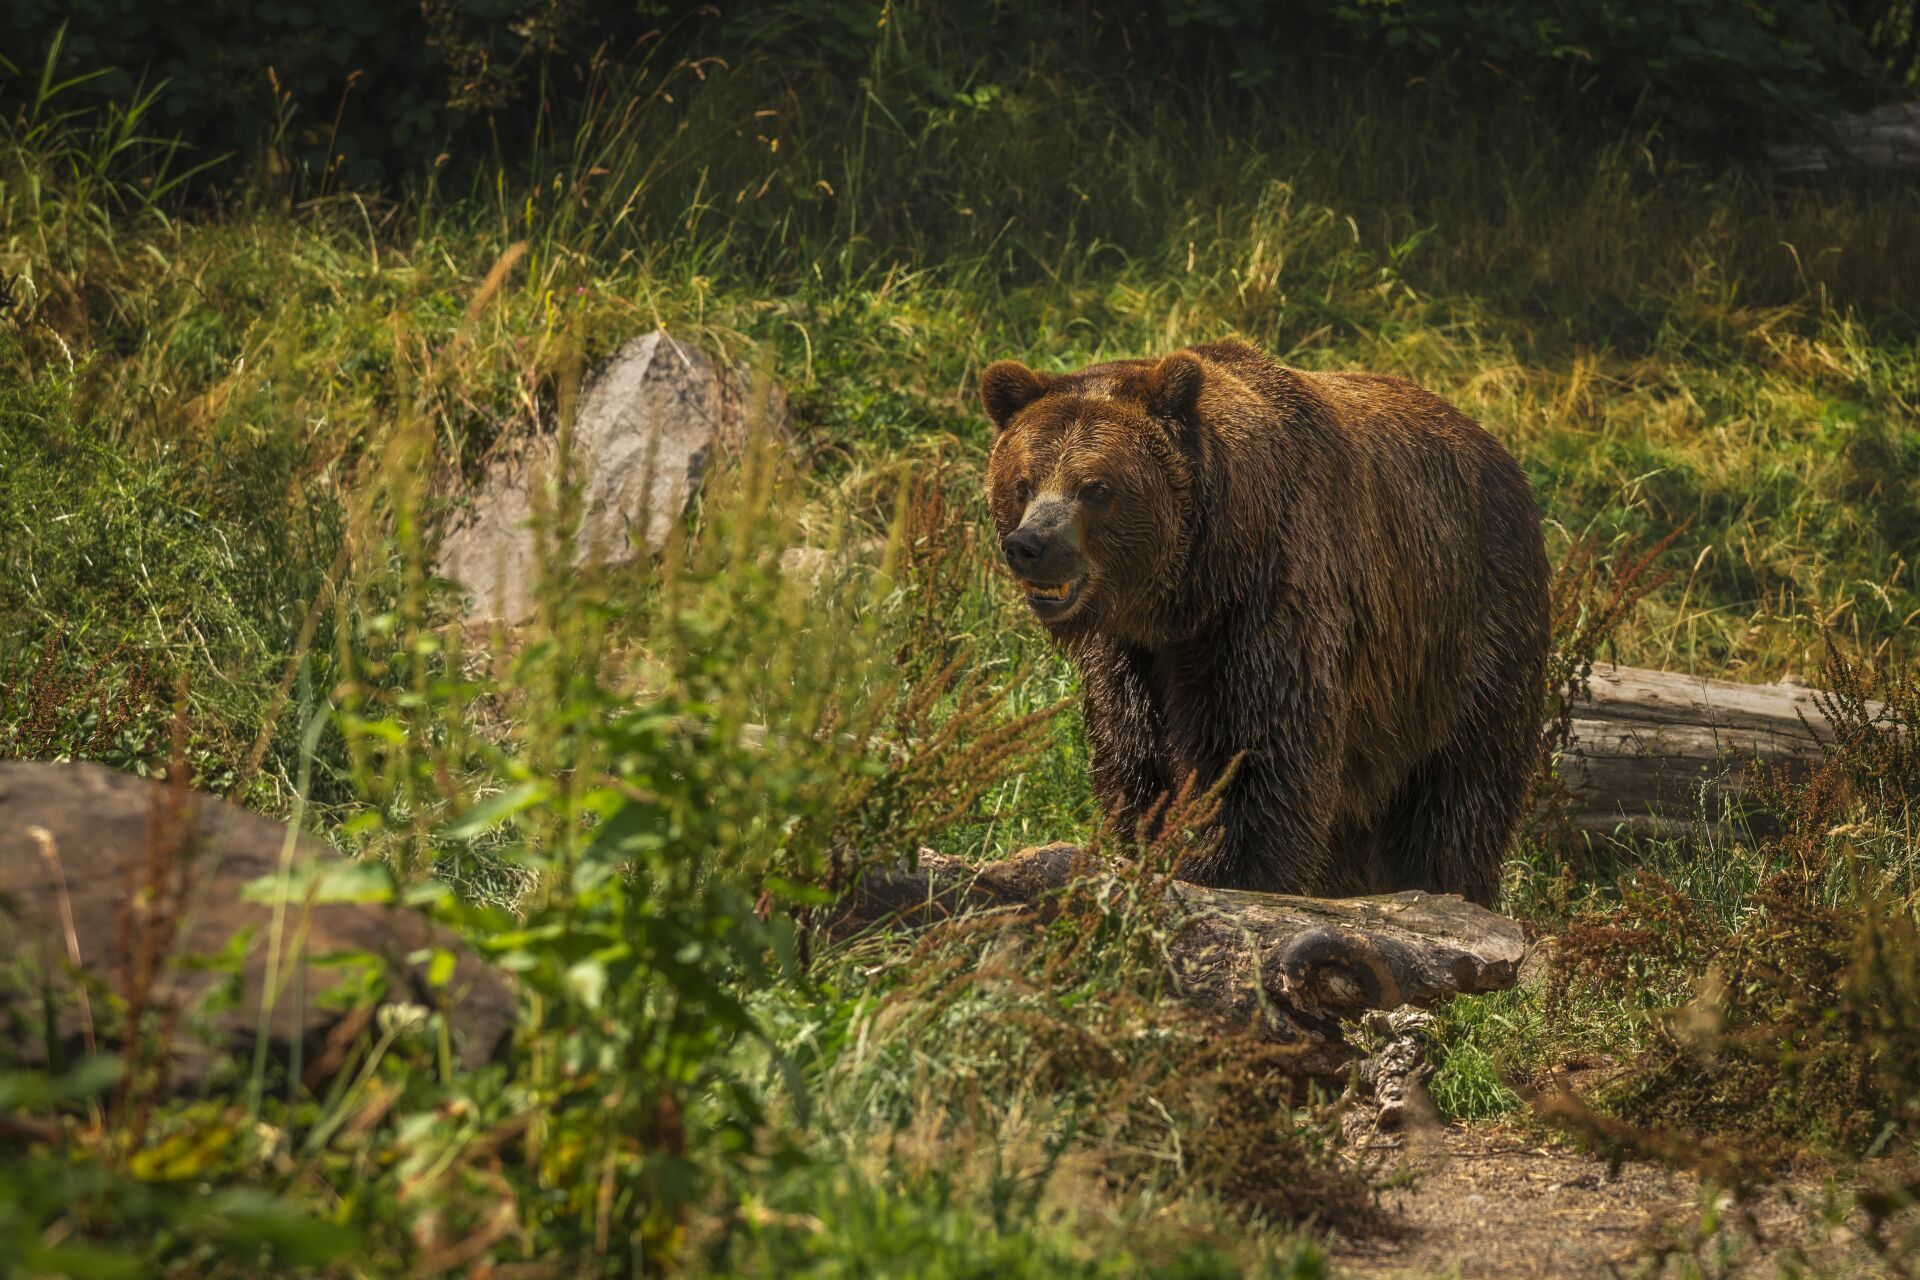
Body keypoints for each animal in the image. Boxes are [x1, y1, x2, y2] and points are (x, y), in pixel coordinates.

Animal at [983, 335, 1551, 905]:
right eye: (1023, 482)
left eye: (1096, 487)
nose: (1029, 545)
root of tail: (1503, 454)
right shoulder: (1132, 655)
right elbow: (1135, 761)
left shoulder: (1270, 611)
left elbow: (1258, 763)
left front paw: (1225, 874)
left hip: (1468, 639)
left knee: (1458, 796)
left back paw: (1447, 885)